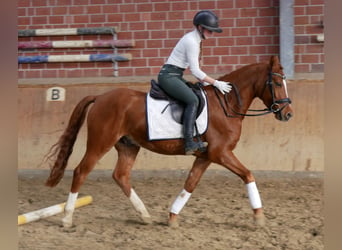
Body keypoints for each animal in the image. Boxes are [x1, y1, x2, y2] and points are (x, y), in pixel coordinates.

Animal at [44, 55, 292, 228]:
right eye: (278, 84)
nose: (288, 114)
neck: (226, 104)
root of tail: (101, 97)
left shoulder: (206, 156)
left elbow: (190, 184)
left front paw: (172, 217)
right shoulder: (221, 153)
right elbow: (248, 175)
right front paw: (259, 217)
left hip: (128, 145)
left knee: (121, 176)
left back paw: (144, 215)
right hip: (100, 143)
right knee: (81, 172)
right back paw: (67, 219)